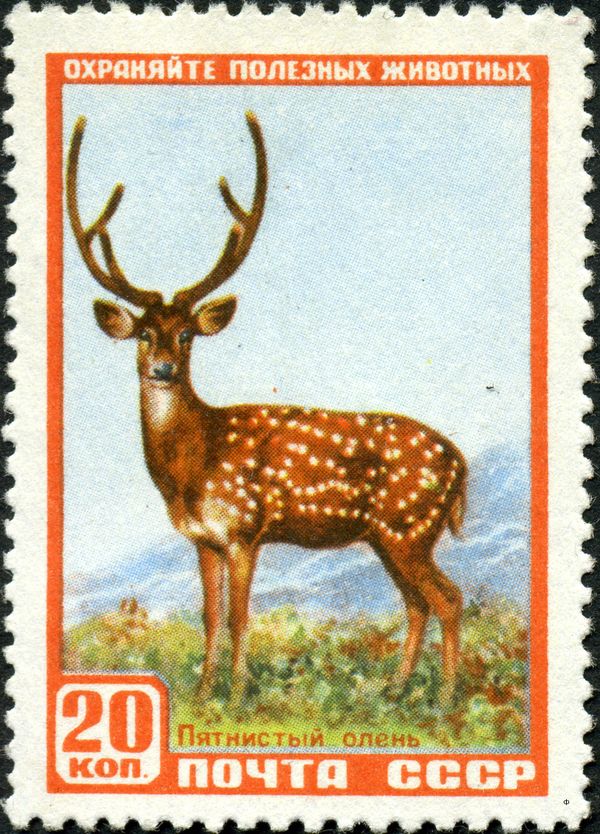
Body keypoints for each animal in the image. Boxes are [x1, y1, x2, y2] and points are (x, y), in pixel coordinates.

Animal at [66, 112, 467, 707]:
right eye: (142, 333)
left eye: (186, 334)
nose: (162, 368)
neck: (191, 464)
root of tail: (461, 465)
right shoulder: (203, 538)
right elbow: (209, 616)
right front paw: (202, 696)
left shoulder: (244, 527)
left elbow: (239, 616)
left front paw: (235, 697)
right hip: (389, 536)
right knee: (418, 602)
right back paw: (394, 691)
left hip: (409, 525)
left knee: (449, 598)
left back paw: (443, 701)